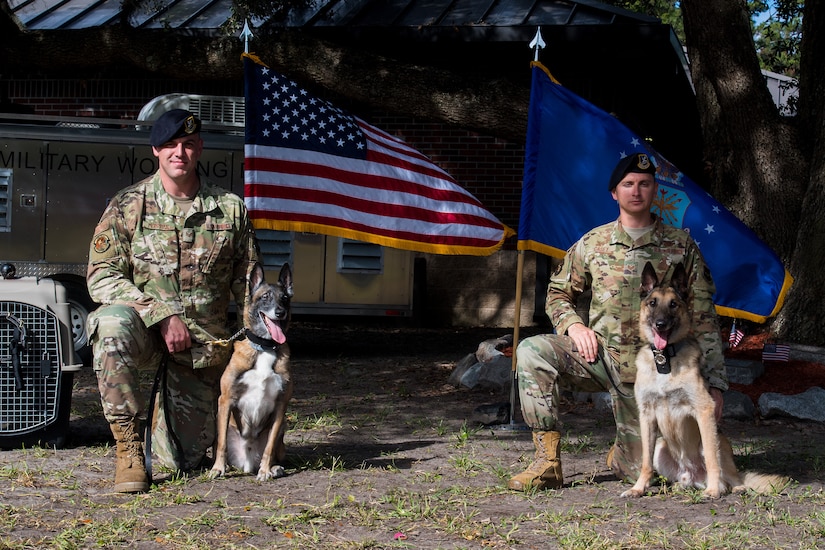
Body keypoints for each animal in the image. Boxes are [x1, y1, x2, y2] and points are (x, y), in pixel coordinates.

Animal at [209, 264, 292, 484]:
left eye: (285, 298)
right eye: (265, 297)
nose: (280, 312)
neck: (265, 347)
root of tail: (246, 464)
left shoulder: (281, 406)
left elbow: (269, 448)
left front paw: (265, 471)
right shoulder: (226, 399)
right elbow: (222, 445)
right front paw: (217, 468)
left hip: (281, 430)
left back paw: (274, 468)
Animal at [620, 264, 788, 500]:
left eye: (673, 304)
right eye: (652, 303)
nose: (660, 324)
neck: (665, 359)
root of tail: (692, 475)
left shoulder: (704, 410)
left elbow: (710, 457)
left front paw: (713, 491)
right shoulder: (646, 416)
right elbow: (645, 461)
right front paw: (638, 488)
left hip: (720, 442)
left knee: (729, 475)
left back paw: (731, 487)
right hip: (662, 445)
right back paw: (680, 486)